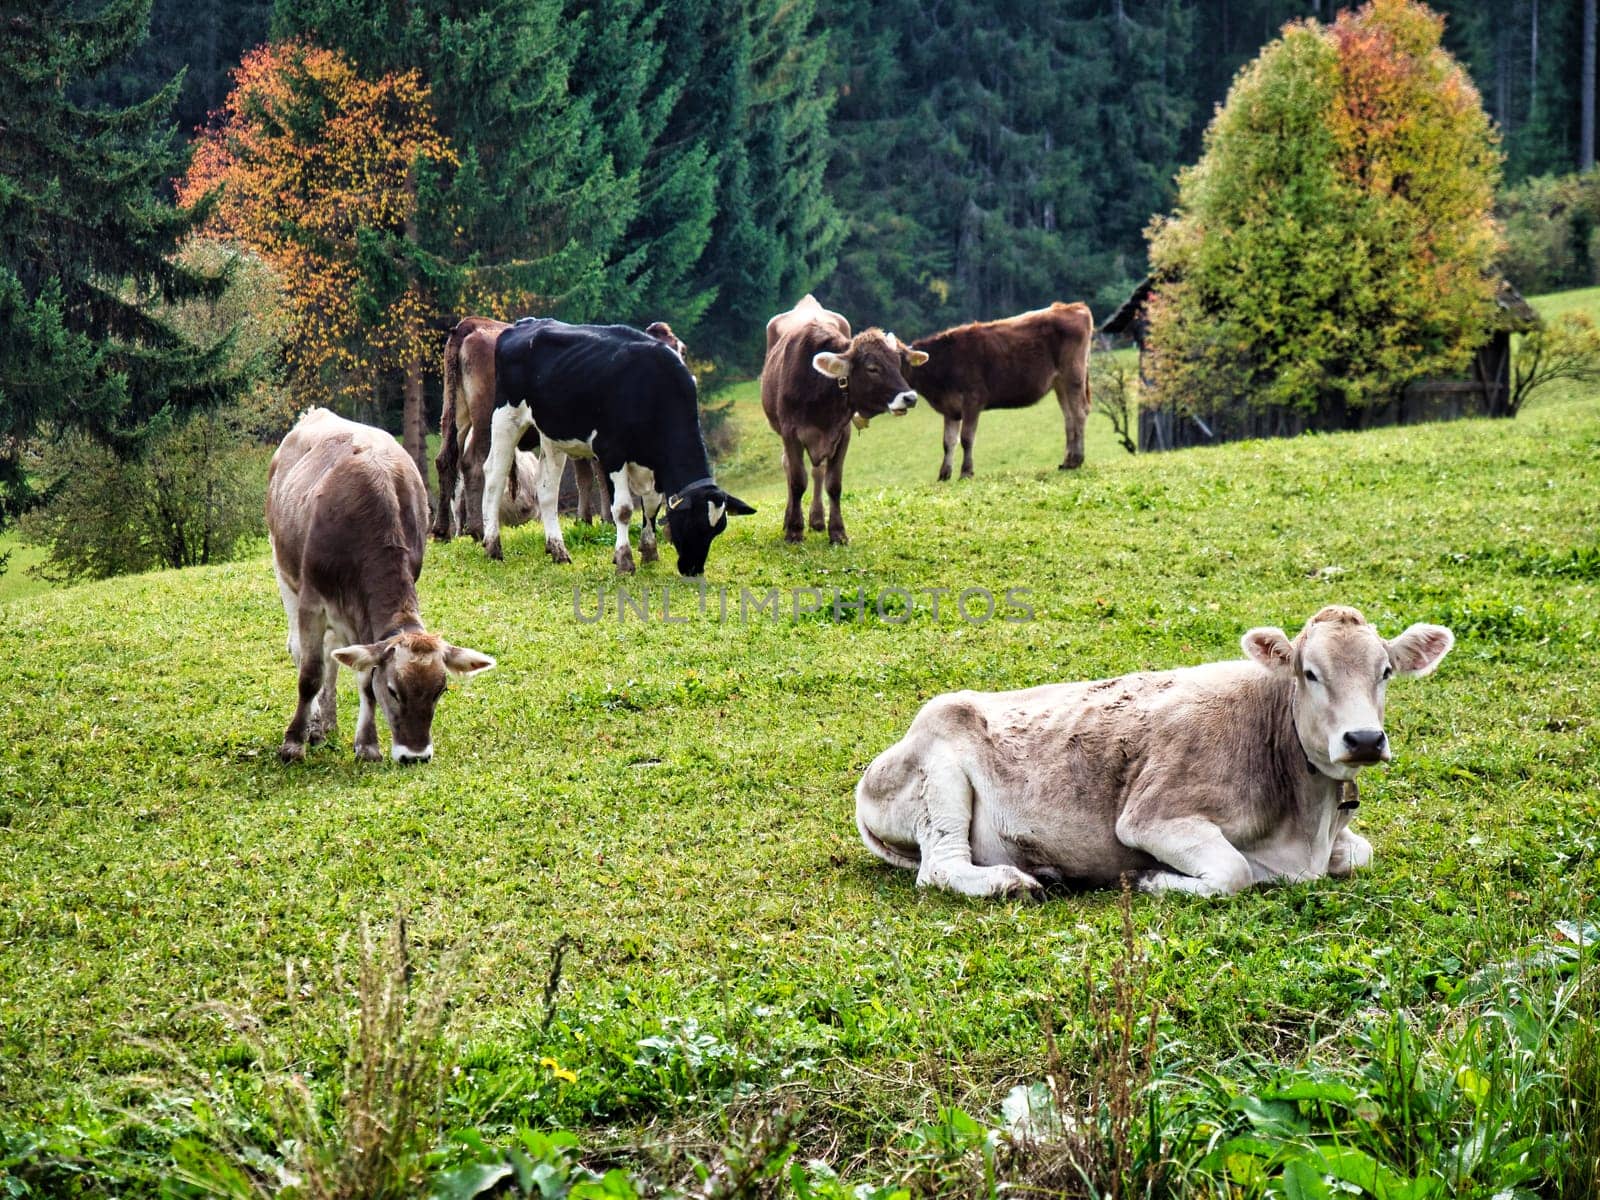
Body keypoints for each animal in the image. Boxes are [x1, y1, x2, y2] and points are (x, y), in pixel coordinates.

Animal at [268, 412, 496, 764]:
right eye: (393, 690)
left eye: (440, 691)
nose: (415, 756)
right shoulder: (313, 601)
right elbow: (310, 674)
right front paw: (293, 743)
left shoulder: (363, 615)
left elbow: (363, 677)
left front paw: (367, 744)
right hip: (283, 569)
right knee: (301, 650)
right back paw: (313, 725)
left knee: (332, 656)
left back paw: (325, 726)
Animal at [480, 320, 755, 579]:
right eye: (692, 524)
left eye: (717, 530)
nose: (693, 569)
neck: (654, 388)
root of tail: (523, 324)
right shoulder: (611, 452)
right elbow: (623, 510)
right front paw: (624, 560)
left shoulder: (656, 464)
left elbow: (651, 505)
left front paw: (649, 552)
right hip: (506, 418)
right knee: (494, 476)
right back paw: (493, 546)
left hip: (551, 434)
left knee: (546, 490)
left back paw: (558, 550)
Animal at [758, 296, 928, 544]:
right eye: (872, 368)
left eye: (898, 365)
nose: (910, 398)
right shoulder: (791, 433)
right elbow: (797, 480)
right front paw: (794, 530)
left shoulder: (842, 433)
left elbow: (834, 484)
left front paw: (837, 532)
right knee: (789, 467)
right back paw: (790, 518)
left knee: (818, 471)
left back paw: (817, 519)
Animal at [908, 302, 1094, 483]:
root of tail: (1072, 306)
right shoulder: (950, 408)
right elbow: (948, 442)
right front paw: (944, 475)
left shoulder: (973, 400)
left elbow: (967, 438)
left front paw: (966, 472)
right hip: (1060, 383)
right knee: (1069, 417)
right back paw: (1067, 462)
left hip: (1073, 376)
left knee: (1079, 413)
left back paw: (1077, 460)